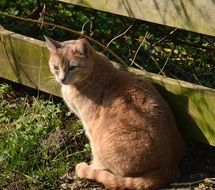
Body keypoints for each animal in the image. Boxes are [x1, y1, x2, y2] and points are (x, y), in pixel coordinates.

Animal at [45, 36, 183, 189]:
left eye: (72, 68)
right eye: (56, 67)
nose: (61, 79)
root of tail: (169, 168)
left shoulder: (89, 125)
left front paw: (91, 167)